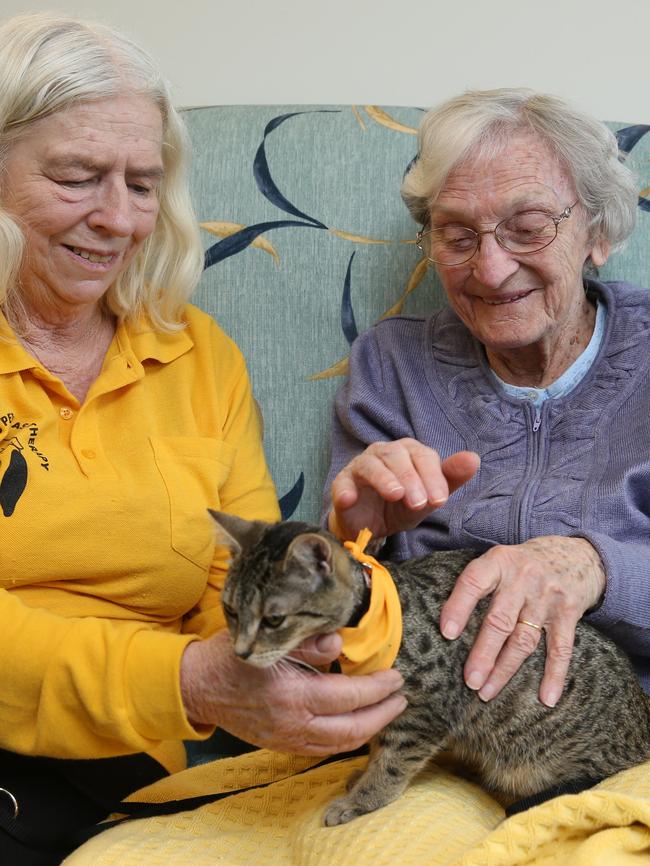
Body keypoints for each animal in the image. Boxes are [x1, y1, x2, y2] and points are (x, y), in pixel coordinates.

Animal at [208, 510, 648, 828]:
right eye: (229, 609)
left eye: (274, 620)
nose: (240, 653)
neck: (364, 620)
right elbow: (377, 748)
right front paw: (362, 776)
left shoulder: (422, 713)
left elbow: (391, 762)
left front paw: (363, 799)